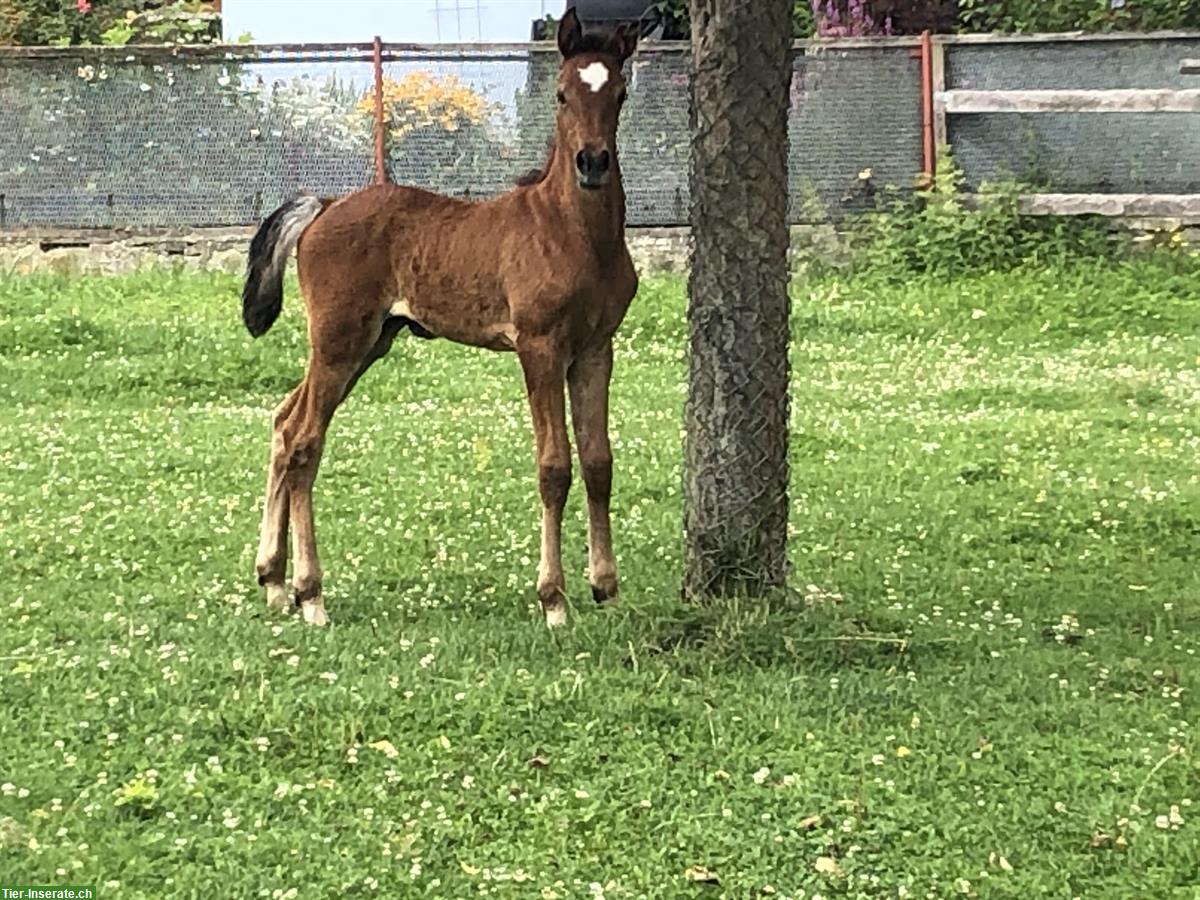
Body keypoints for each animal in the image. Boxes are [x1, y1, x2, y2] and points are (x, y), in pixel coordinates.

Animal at [238, 10, 643, 628]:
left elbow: (599, 462)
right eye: (561, 93)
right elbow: (554, 467)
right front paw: (553, 599)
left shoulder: (597, 349)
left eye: (620, 93)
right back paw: (311, 594)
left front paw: (608, 588)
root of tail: (324, 207)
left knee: (285, 423)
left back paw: (274, 580)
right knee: (306, 440)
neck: (574, 235)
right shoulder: (540, 347)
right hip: (339, 340)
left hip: (368, 343)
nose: (593, 163)